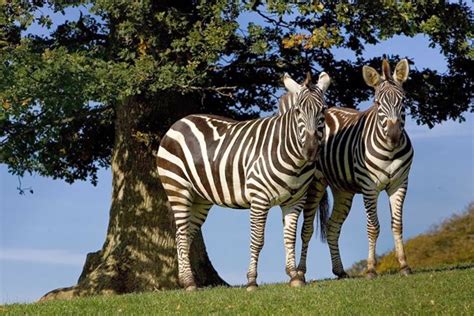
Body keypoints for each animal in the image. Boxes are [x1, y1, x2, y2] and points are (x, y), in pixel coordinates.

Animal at [157, 71, 332, 292]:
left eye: (323, 110)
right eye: (298, 111)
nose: (310, 150)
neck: (294, 159)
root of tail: (179, 122)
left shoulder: (295, 200)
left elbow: (289, 237)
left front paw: (294, 276)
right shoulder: (259, 199)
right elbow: (257, 241)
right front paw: (251, 281)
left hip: (200, 197)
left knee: (186, 234)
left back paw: (186, 280)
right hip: (178, 188)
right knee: (180, 234)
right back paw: (189, 282)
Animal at [280, 59, 412, 278]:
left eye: (403, 101)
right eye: (377, 103)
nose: (393, 136)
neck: (390, 151)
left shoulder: (400, 184)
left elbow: (397, 225)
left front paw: (404, 265)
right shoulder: (369, 187)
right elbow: (373, 227)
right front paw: (370, 269)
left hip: (342, 189)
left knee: (332, 226)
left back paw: (340, 270)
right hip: (316, 184)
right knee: (306, 229)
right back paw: (301, 271)